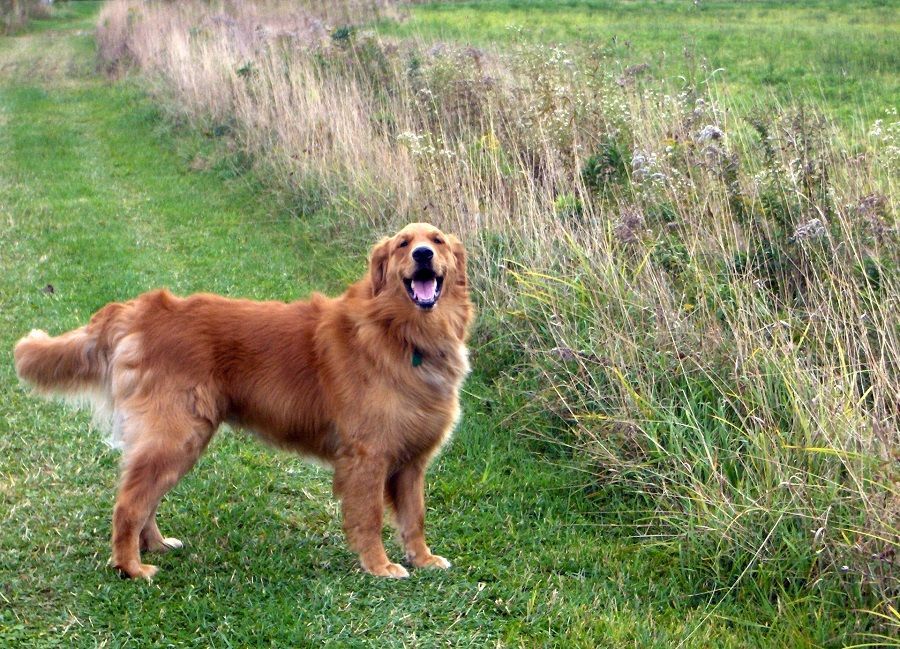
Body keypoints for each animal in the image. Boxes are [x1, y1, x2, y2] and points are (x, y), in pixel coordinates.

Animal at [14, 221, 474, 576]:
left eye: (436, 240)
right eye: (403, 244)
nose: (422, 255)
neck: (401, 333)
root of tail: (138, 310)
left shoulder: (412, 461)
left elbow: (414, 517)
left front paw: (424, 559)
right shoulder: (368, 457)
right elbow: (371, 517)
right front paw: (379, 566)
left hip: (174, 442)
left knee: (143, 500)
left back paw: (155, 546)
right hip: (176, 437)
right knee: (129, 505)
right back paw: (131, 567)